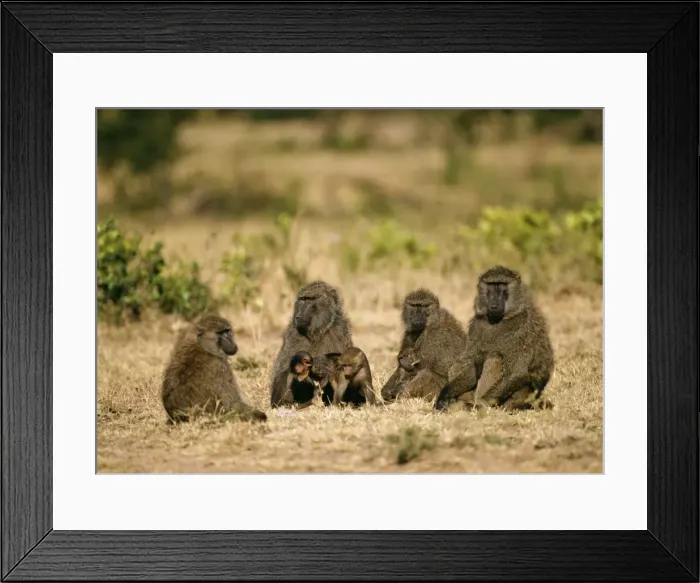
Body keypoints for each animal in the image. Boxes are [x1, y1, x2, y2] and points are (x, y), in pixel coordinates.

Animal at [434, 265, 555, 412]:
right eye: (491, 285)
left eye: (502, 286)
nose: (494, 304)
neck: (501, 319)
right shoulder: (476, 325)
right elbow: (468, 363)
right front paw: (444, 396)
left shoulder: (524, 330)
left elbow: (516, 372)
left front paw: (479, 404)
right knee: (458, 365)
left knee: (495, 358)